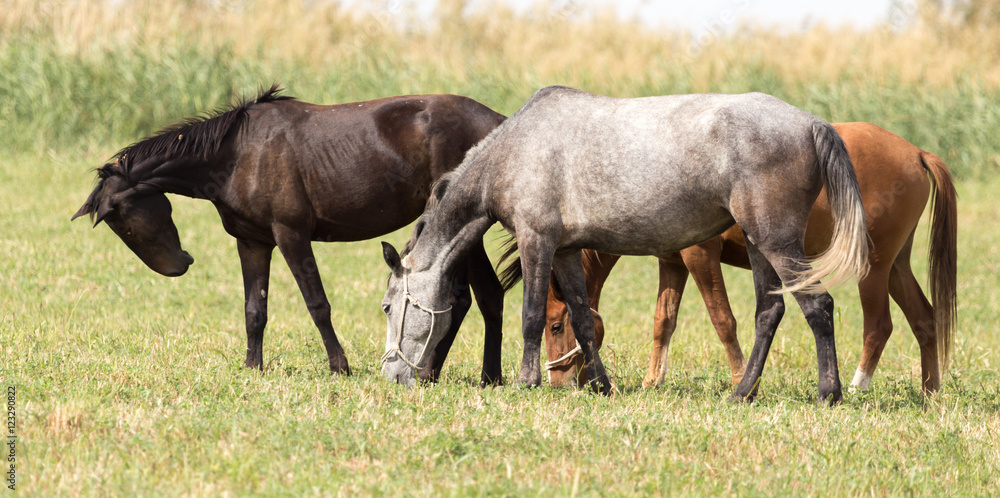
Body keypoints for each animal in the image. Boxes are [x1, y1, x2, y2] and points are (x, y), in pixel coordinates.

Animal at [73, 84, 508, 382]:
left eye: (125, 224)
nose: (181, 264)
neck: (237, 154)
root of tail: (500, 121)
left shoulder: (291, 235)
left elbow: (317, 304)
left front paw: (339, 366)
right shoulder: (252, 241)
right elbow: (254, 309)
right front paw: (253, 366)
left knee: (483, 295)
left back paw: (485, 377)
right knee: (467, 298)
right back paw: (434, 372)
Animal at [380, 86, 869, 404]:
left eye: (387, 306)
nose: (391, 374)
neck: (515, 151)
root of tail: (812, 123)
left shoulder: (537, 241)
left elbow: (531, 315)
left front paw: (526, 382)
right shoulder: (565, 251)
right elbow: (580, 316)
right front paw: (601, 385)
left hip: (776, 240)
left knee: (818, 305)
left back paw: (829, 393)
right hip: (756, 241)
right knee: (770, 311)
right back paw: (742, 393)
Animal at [542, 122, 957, 395]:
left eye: (556, 326)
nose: (558, 382)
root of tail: (917, 153)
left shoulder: (699, 257)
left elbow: (723, 320)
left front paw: (741, 379)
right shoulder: (672, 262)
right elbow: (663, 321)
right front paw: (652, 381)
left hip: (873, 269)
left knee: (878, 326)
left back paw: (857, 387)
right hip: (896, 266)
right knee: (924, 319)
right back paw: (930, 392)